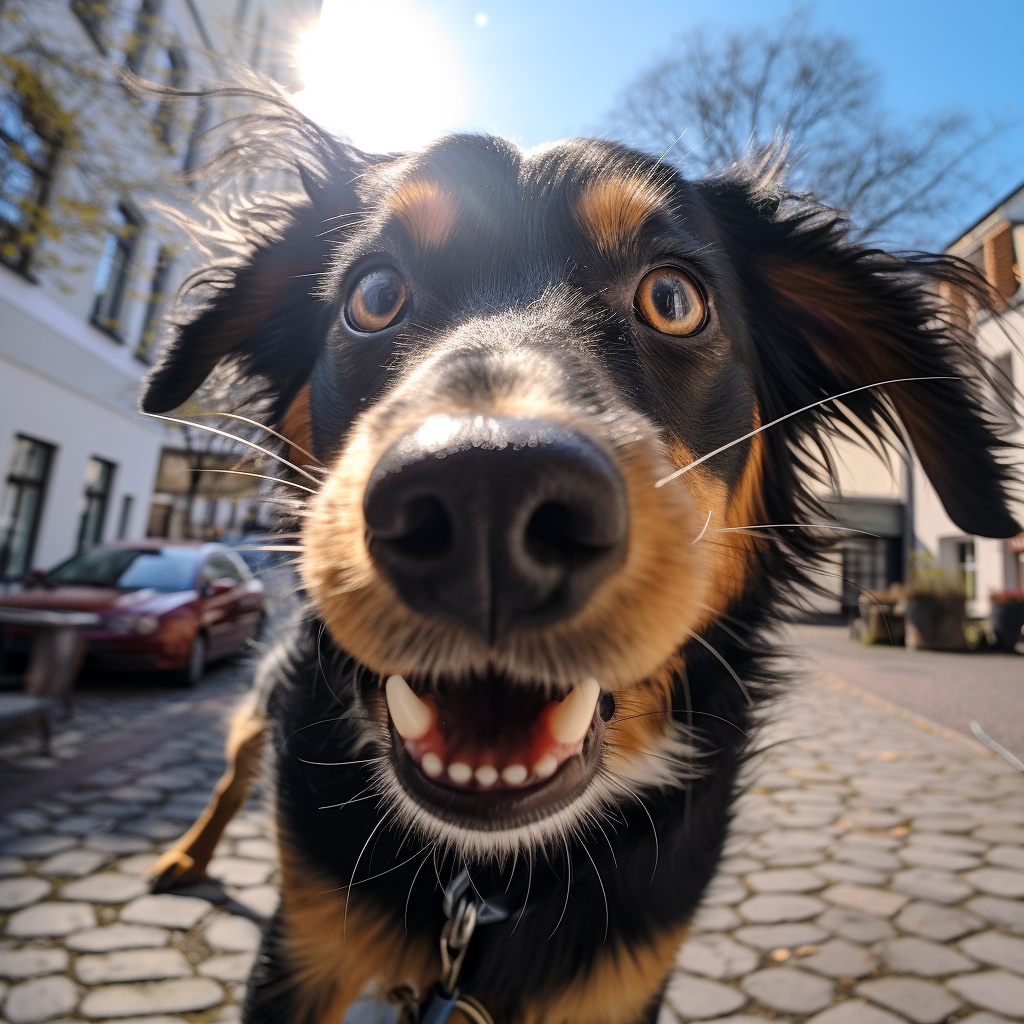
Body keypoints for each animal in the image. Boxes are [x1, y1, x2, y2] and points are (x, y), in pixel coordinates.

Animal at [140, 105, 1019, 1024]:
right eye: (373, 297)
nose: (486, 498)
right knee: (237, 760)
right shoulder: (302, 952)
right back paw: (186, 856)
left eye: (673, 300)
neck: (482, 881)